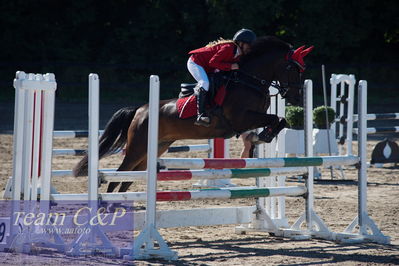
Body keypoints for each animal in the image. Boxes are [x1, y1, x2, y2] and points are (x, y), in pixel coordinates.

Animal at [73, 35, 314, 193]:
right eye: (293, 68)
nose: (296, 97)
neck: (250, 79)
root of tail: (140, 110)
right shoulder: (241, 118)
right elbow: (276, 118)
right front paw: (263, 136)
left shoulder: (251, 117)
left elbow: (279, 120)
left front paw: (260, 137)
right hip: (137, 148)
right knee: (117, 178)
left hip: (153, 149)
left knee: (126, 180)